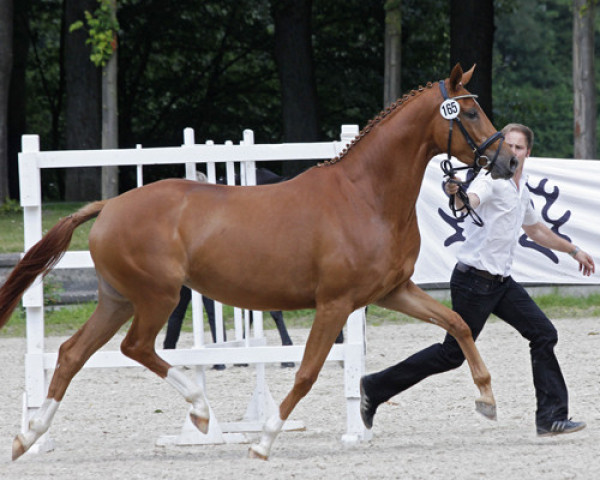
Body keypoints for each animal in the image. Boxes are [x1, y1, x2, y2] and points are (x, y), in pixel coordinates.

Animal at [0, 64, 516, 462]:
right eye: (470, 111)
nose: (508, 162)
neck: (365, 195)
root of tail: (109, 206)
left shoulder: (393, 292)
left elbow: (457, 324)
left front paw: (487, 400)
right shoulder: (335, 303)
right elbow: (306, 372)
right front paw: (263, 442)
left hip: (118, 300)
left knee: (72, 354)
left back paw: (28, 437)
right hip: (157, 297)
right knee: (135, 347)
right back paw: (199, 409)